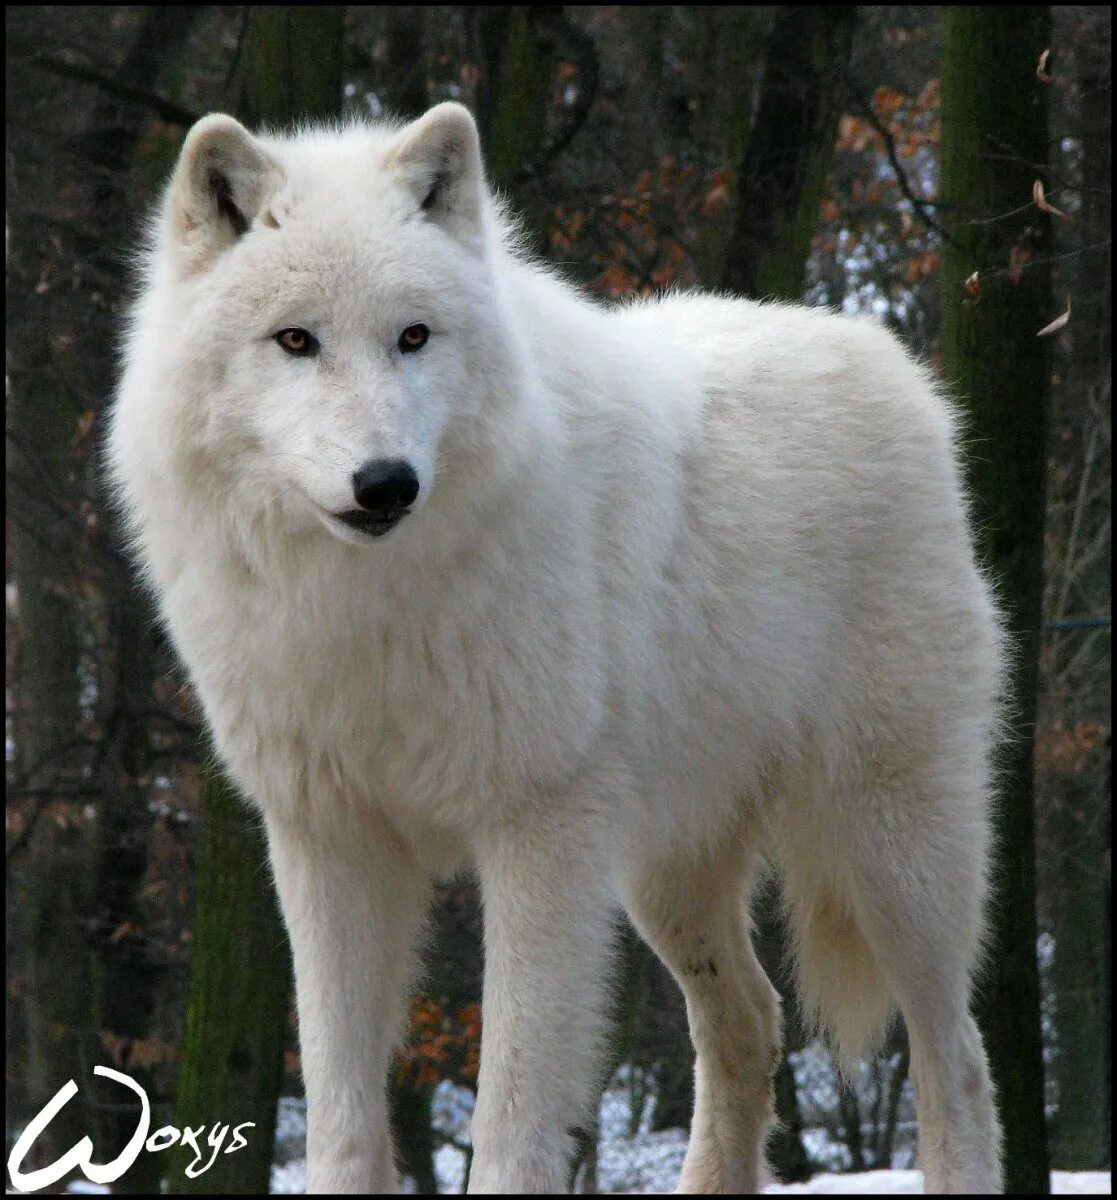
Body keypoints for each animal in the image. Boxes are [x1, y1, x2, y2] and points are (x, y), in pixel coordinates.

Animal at [109, 100, 1007, 1190]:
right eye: (295, 340)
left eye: (412, 337)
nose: (385, 483)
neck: (369, 613)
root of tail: (899, 369)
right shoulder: (329, 843)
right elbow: (340, 1115)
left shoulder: (538, 835)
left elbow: (511, 1114)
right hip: (668, 877)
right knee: (750, 1021)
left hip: (891, 850)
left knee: (956, 1056)